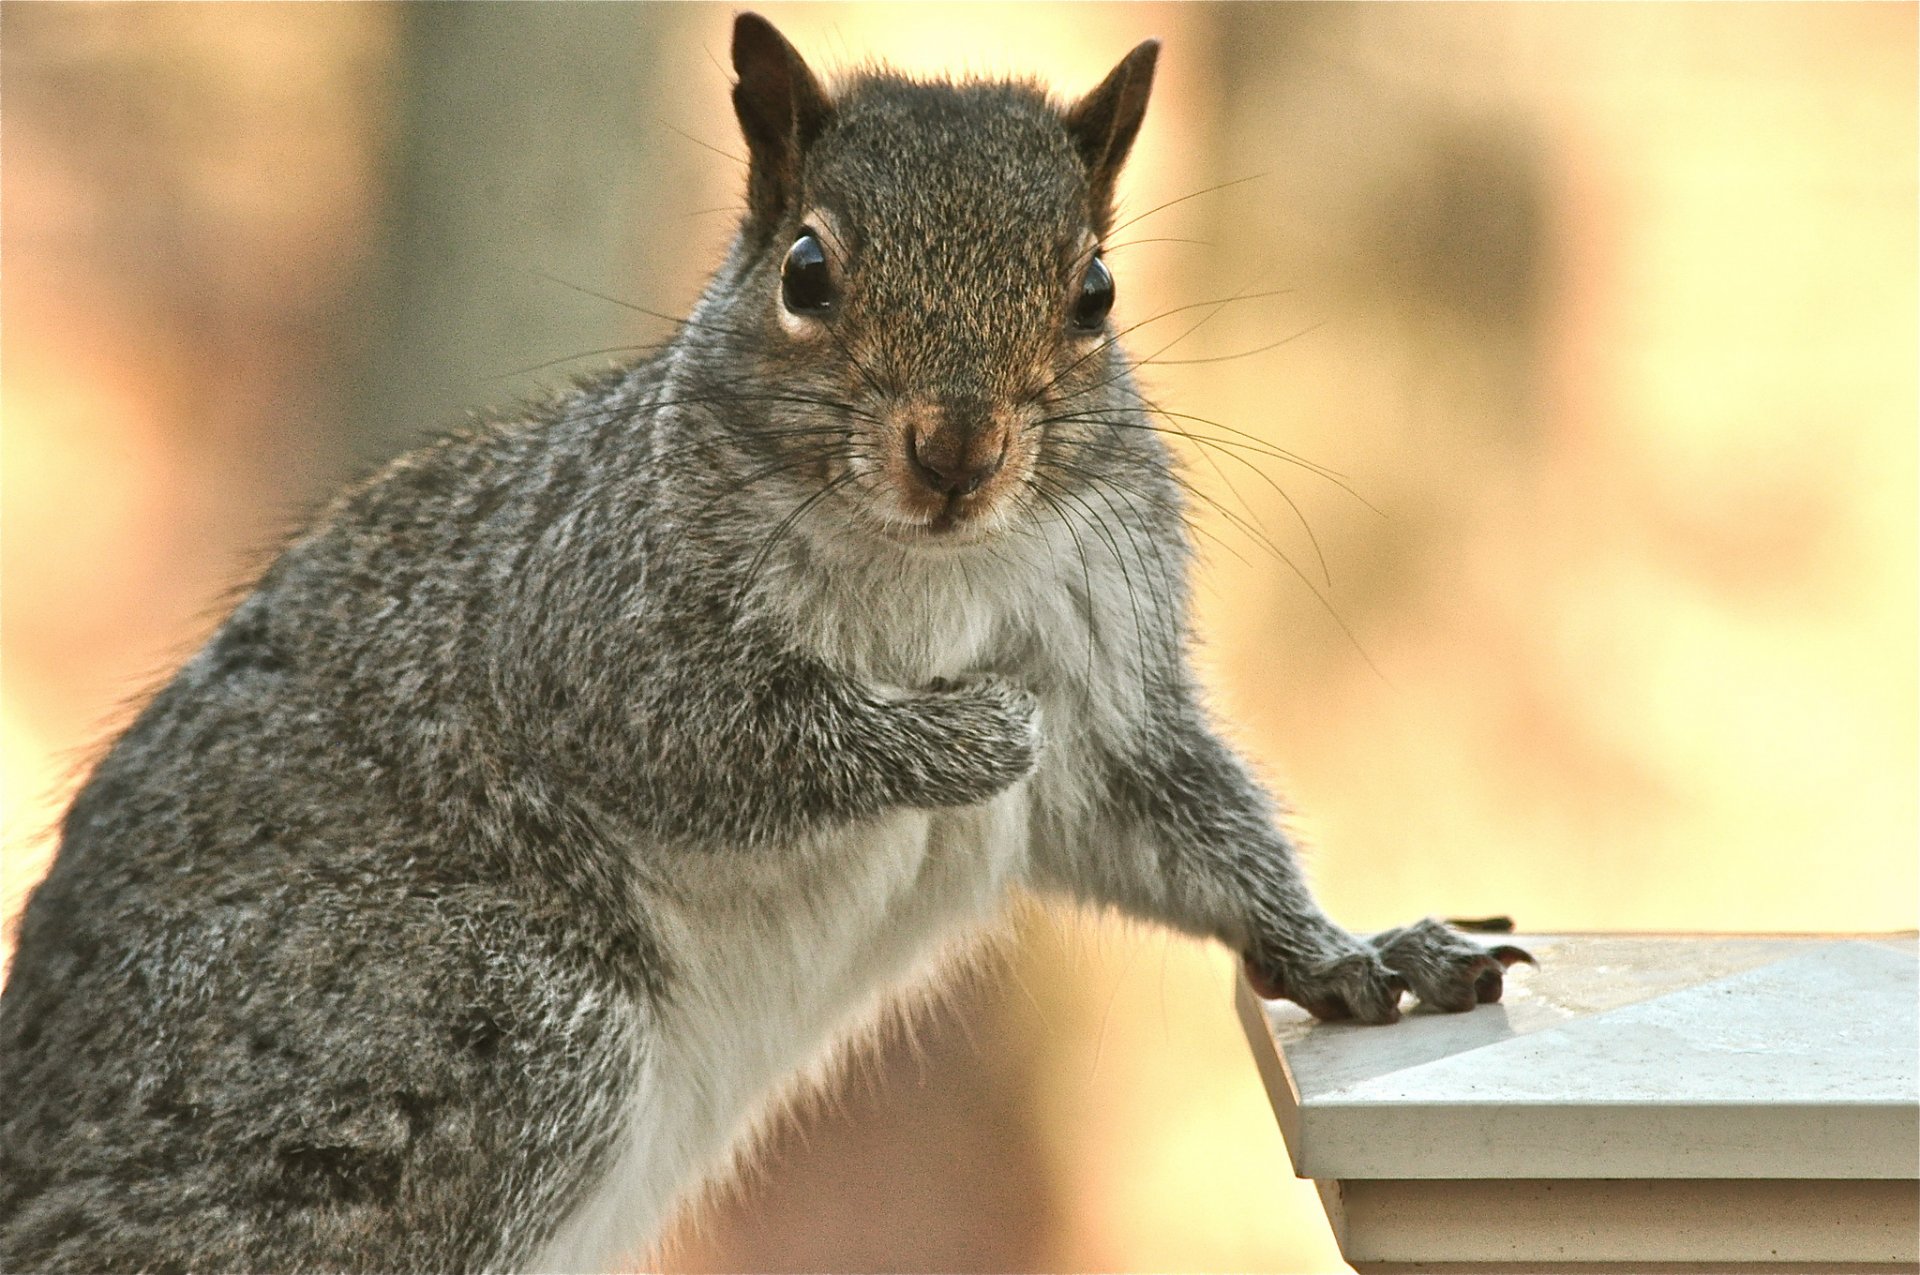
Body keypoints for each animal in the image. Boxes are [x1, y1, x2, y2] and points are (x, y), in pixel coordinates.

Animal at [0, 12, 1528, 1275]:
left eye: (1094, 290)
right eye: (806, 270)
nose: (957, 451)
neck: (931, 562)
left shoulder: (1114, 682)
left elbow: (1178, 820)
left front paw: (1353, 956)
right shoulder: (590, 629)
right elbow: (731, 739)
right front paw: (964, 734)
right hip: (468, 1024)